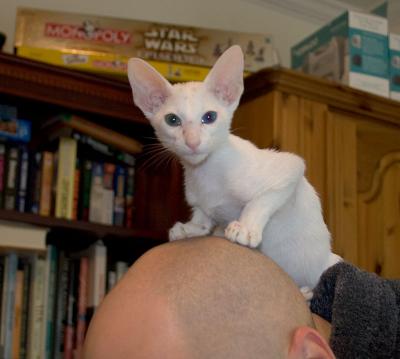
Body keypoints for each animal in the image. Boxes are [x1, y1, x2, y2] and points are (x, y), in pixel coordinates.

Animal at [128, 45, 340, 290]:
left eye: (209, 117)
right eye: (172, 120)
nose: (192, 142)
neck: (206, 172)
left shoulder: (291, 167)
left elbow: (261, 200)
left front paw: (245, 227)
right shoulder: (200, 200)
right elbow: (203, 220)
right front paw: (190, 228)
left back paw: (306, 291)